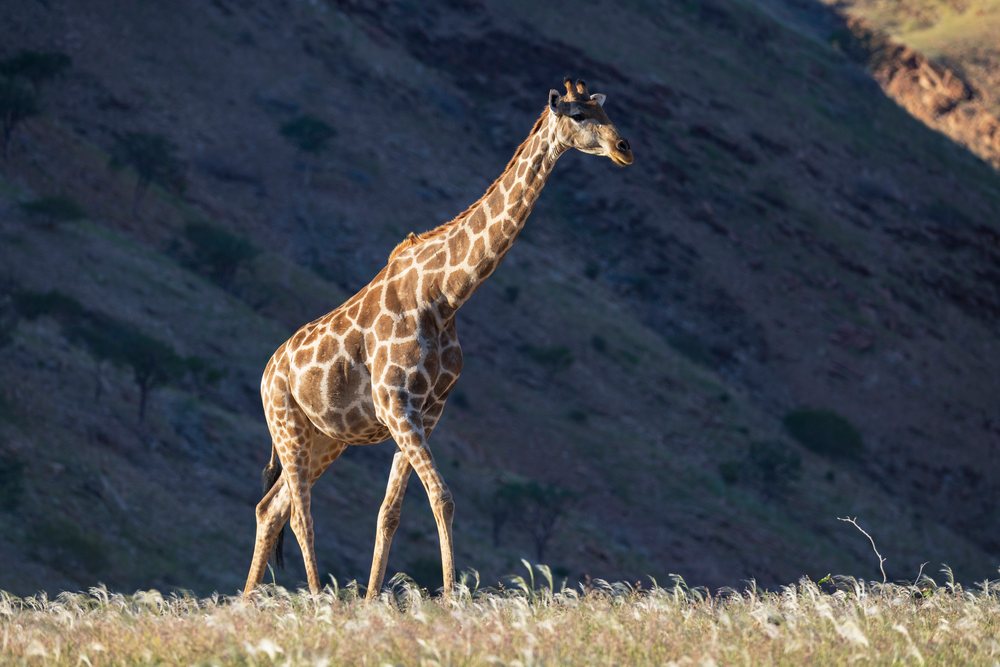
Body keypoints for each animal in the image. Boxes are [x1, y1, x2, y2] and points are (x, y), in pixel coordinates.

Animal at [242, 78, 633, 598]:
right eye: (578, 115)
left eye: (602, 111)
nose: (624, 148)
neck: (446, 295)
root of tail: (267, 373)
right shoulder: (395, 404)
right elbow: (441, 495)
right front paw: (449, 596)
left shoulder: (427, 411)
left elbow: (391, 512)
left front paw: (375, 599)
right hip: (287, 425)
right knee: (301, 514)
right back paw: (320, 596)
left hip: (325, 436)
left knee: (272, 507)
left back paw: (246, 602)